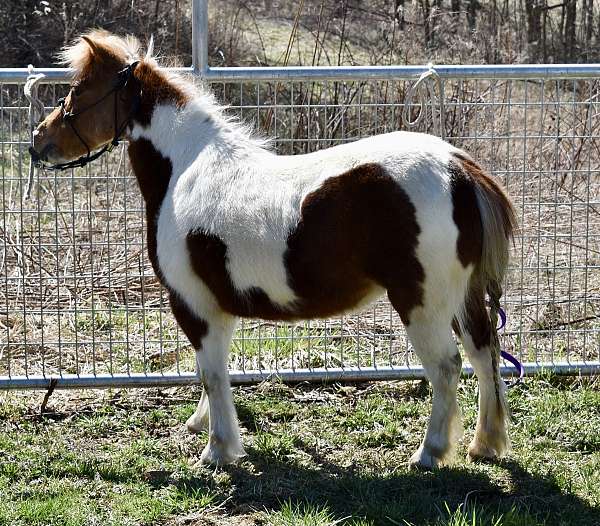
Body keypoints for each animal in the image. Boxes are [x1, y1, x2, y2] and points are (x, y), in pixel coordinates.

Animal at [31, 32, 516, 470]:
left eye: (79, 89)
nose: (38, 142)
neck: (185, 167)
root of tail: (460, 170)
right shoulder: (216, 306)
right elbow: (213, 371)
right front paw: (203, 424)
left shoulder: (192, 302)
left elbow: (211, 373)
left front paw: (218, 450)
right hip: (462, 297)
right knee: (484, 353)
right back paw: (485, 444)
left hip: (422, 302)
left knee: (447, 367)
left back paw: (429, 453)